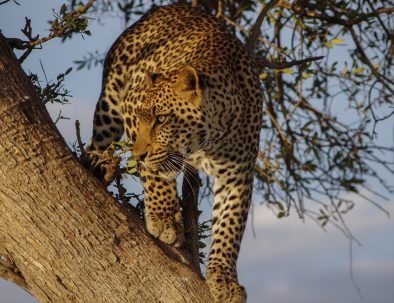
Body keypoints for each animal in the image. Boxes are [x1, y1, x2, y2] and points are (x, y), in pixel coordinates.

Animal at [87, 4, 264, 303]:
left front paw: (224, 279)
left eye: (161, 119)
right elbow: (155, 176)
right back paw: (96, 165)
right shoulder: (130, 105)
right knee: (95, 143)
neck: (208, 139)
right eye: (144, 118)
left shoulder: (238, 174)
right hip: (109, 107)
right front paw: (164, 218)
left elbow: (230, 226)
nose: (137, 154)